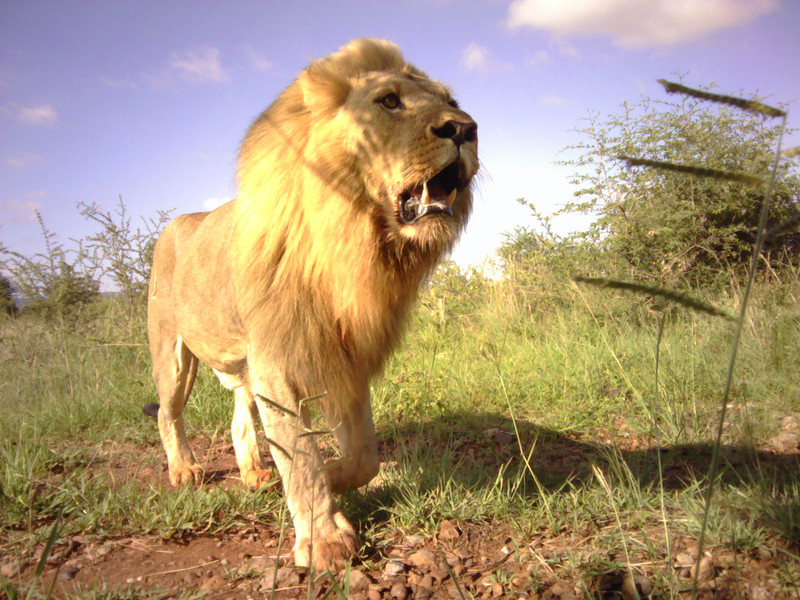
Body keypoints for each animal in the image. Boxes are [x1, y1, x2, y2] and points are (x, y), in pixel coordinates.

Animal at [146, 38, 478, 571]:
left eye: (451, 100)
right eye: (389, 101)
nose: (466, 128)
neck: (354, 235)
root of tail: (182, 219)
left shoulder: (347, 357)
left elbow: (363, 456)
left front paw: (337, 479)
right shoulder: (278, 360)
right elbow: (301, 459)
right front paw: (325, 539)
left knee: (240, 413)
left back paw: (255, 475)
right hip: (173, 352)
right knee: (167, 412)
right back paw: (184, 470)